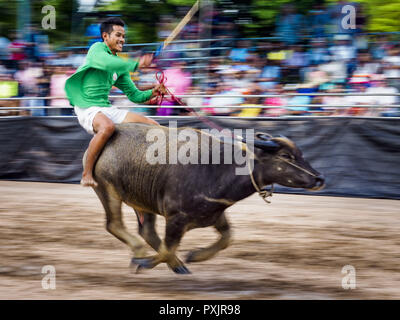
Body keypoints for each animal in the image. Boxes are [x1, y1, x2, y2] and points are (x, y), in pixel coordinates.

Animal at [88, 124, 324, 274]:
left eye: (301, 154)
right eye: (285, 156)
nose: (319, 179)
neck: (215, 168)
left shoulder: (215, 213)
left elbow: (227, 238)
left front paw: (195, 256)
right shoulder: (176, 218)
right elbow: (168, 248)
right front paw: (143, 263)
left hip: (143, 200)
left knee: (146, 231)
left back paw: (177, 265)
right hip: (107, 190)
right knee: (114, 225)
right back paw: (141, 253)